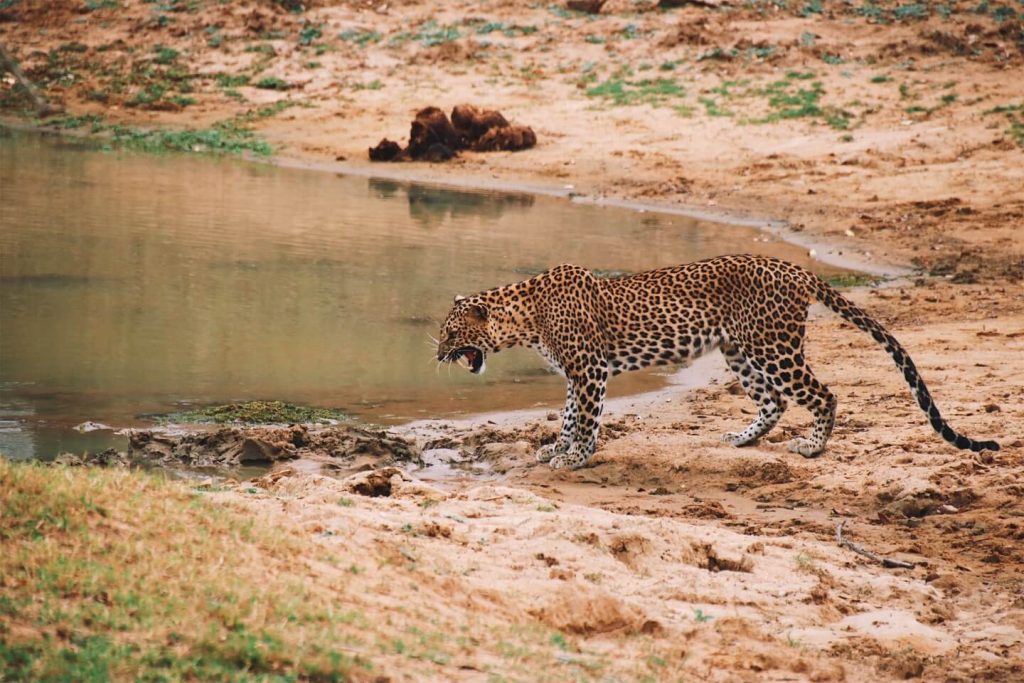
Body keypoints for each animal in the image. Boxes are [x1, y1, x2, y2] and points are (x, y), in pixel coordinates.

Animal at [435, 254, 1000, 470]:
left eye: (450, 332)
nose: (437, 354)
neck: (524, 318)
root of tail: (796, 268)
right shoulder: (577, 374)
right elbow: (571, 414)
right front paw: (557, 448)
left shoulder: (590, 370)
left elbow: (588, 418)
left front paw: (575, 457)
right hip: (740, 352)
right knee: (773, 402)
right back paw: (742, 439)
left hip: (775, 348)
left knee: (823, 394)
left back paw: (813, 447)